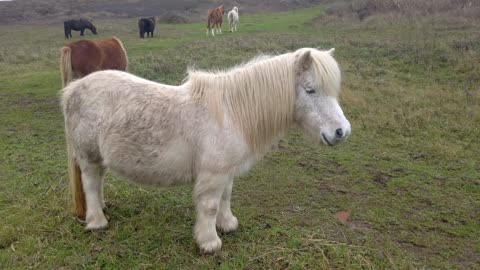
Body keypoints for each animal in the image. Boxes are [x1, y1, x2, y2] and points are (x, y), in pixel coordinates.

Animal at [62, 47, 350, 253]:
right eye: (310, 90)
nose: (342, 132)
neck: (231, 113)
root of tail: (72, 89)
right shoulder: (213, 174)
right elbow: (210, 206)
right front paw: (209, 242)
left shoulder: (226, 172)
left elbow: (226, 197)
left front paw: (228, 224)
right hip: (88, 156)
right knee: (90, 183)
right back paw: (97, 221)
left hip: (99, 157)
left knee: (98, 182)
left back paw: (101, 207)